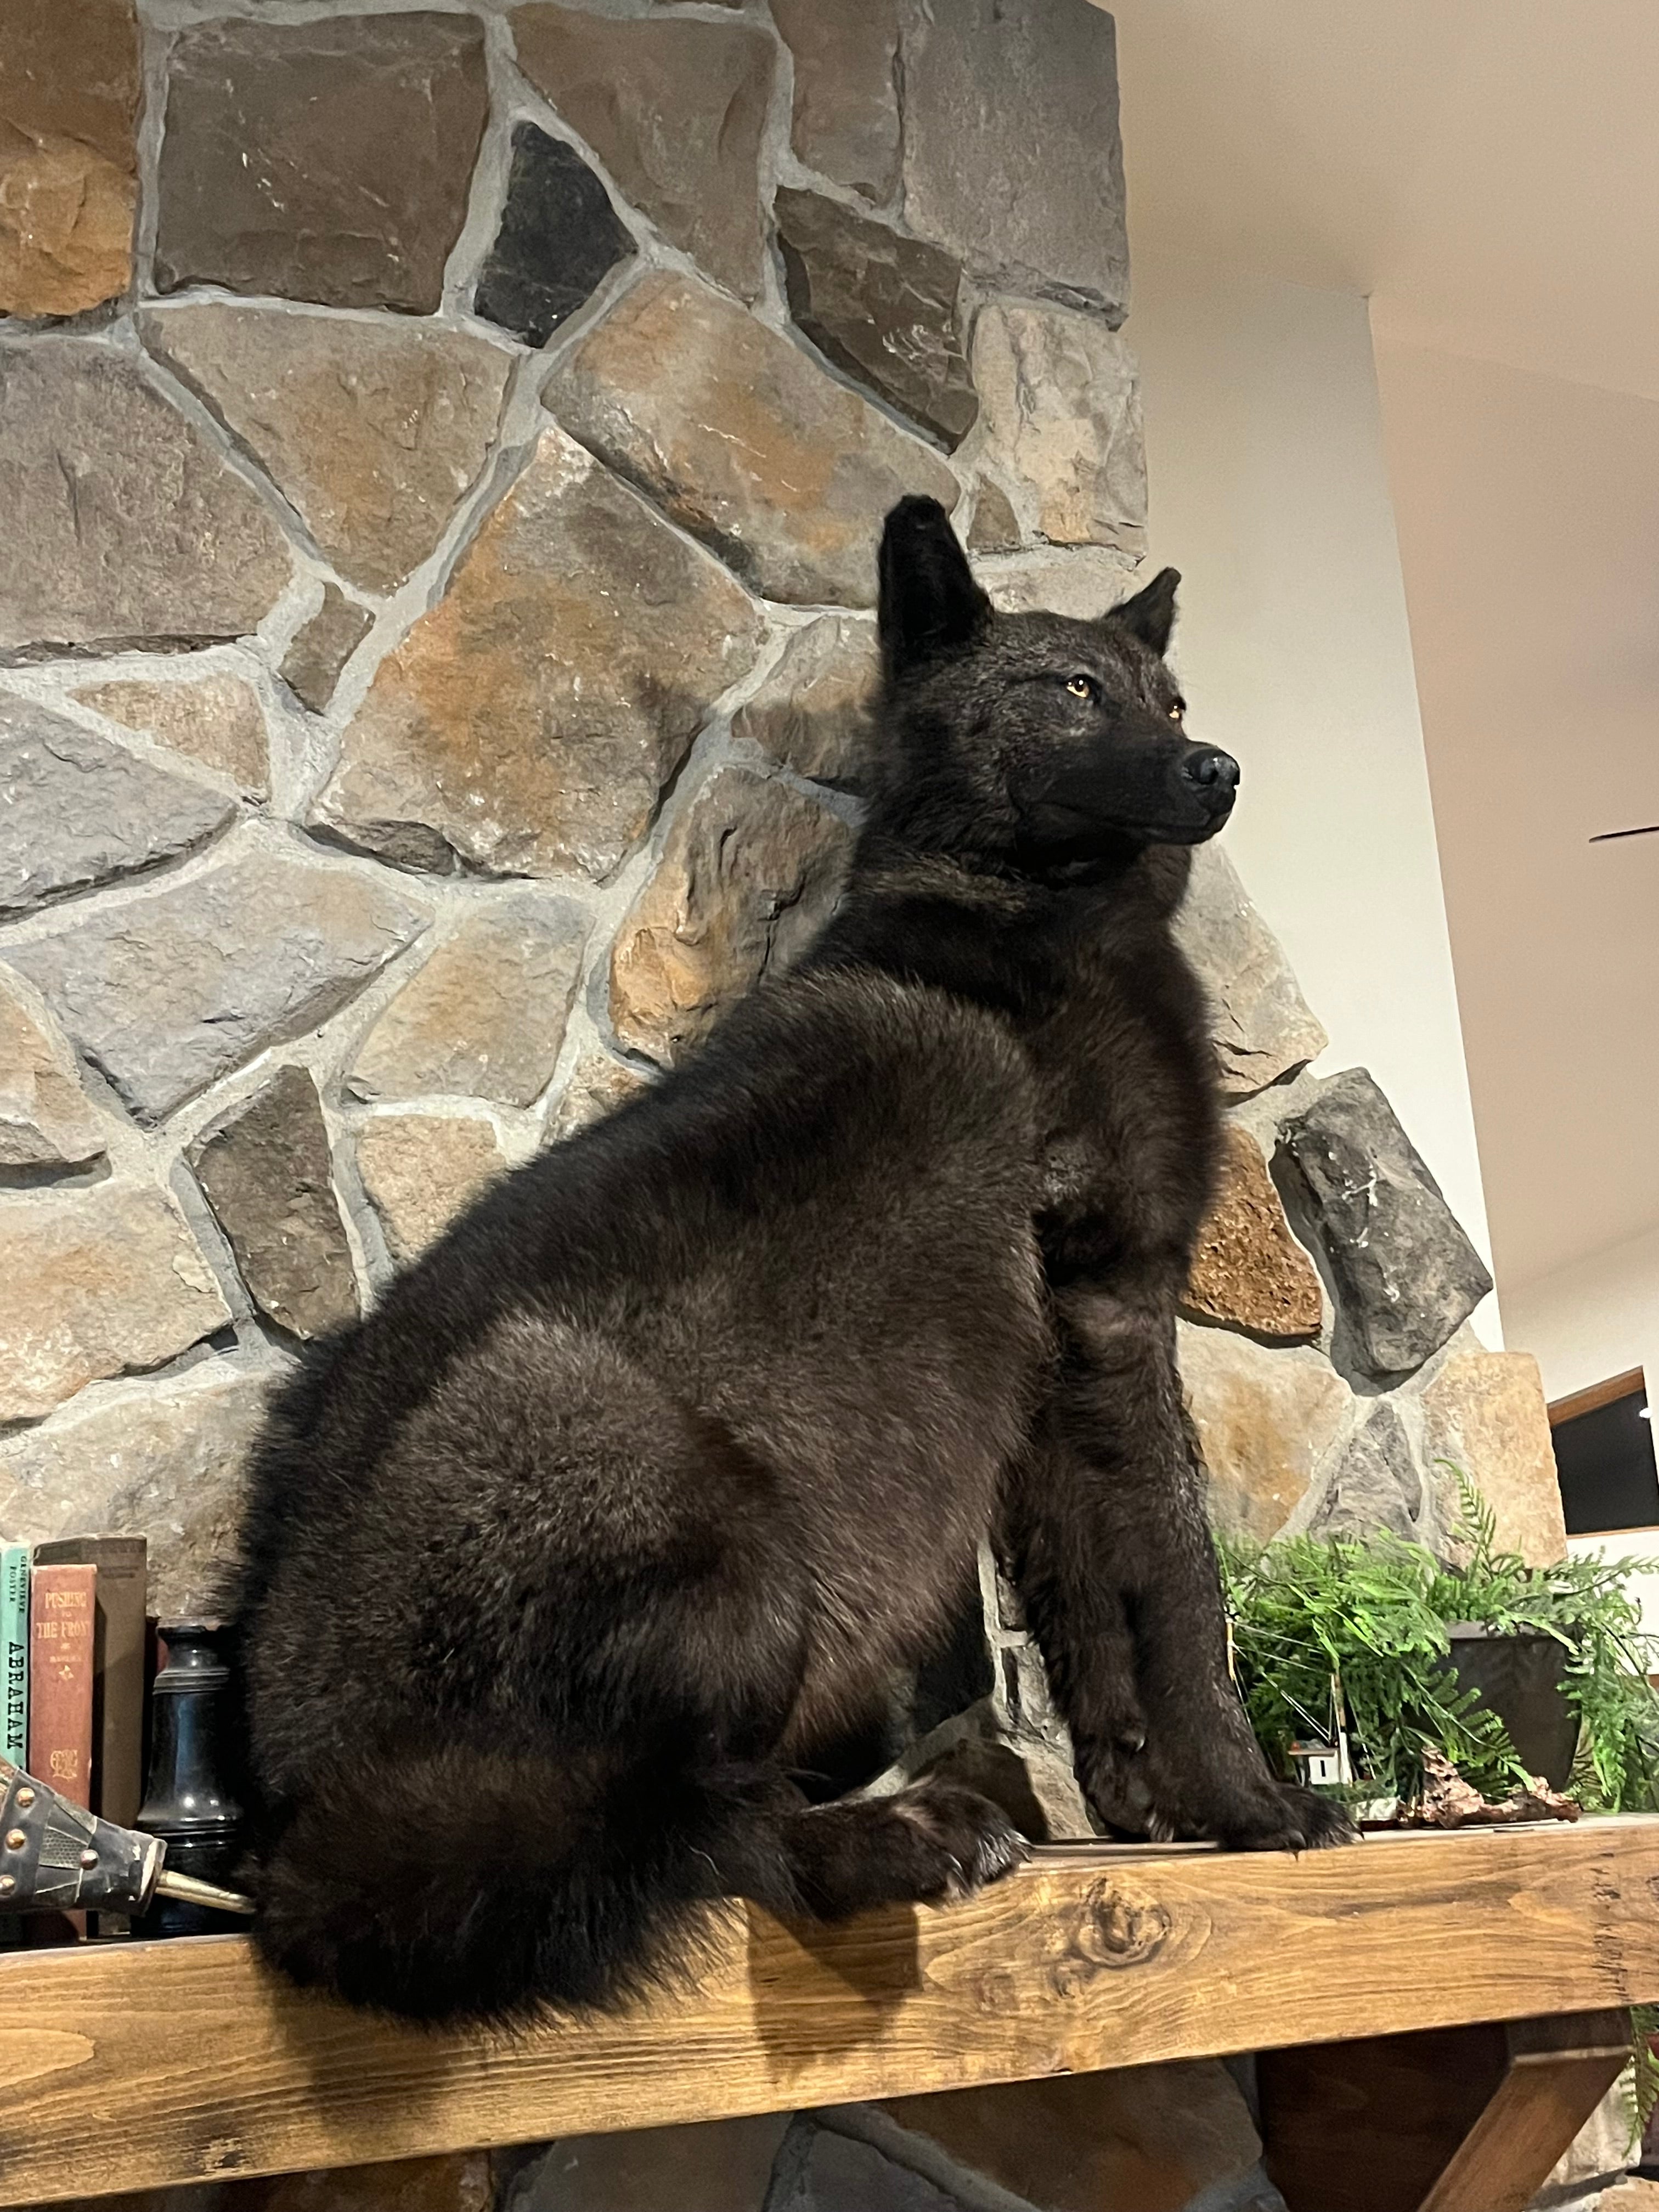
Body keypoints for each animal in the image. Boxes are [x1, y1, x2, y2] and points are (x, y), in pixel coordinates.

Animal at [232, 497, 1353, 2025]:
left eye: (1170, 700)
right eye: (1076, 692)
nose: (1217, 765)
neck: (1033, 913)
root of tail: (295, 1850)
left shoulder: (1059, 1371)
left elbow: (1091, 1613)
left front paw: (1143, 1807)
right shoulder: (1113, 1314)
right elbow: (1185, 1599)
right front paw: (1252, 1808)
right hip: (696, 1505)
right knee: (699, 1835)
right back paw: (900, 1835)